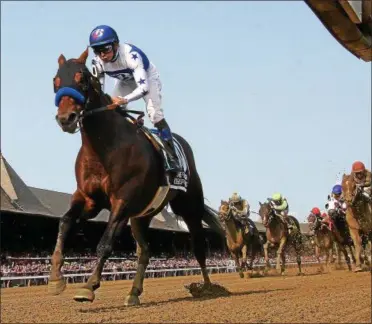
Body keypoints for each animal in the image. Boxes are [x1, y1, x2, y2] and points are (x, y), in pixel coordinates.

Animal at [46, 47, 227, 304]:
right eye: (56, 80)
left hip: (189, 207)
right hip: (141, 216)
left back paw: (208, 288)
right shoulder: (88, 199)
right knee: (145, 251)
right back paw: (133, 293)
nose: (66, 118)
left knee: (199, 248)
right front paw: (55, 279)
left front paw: (88, 286)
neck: (104, 147)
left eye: (82, 79)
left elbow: (105, 243)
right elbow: (64, 222)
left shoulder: (123, 200)